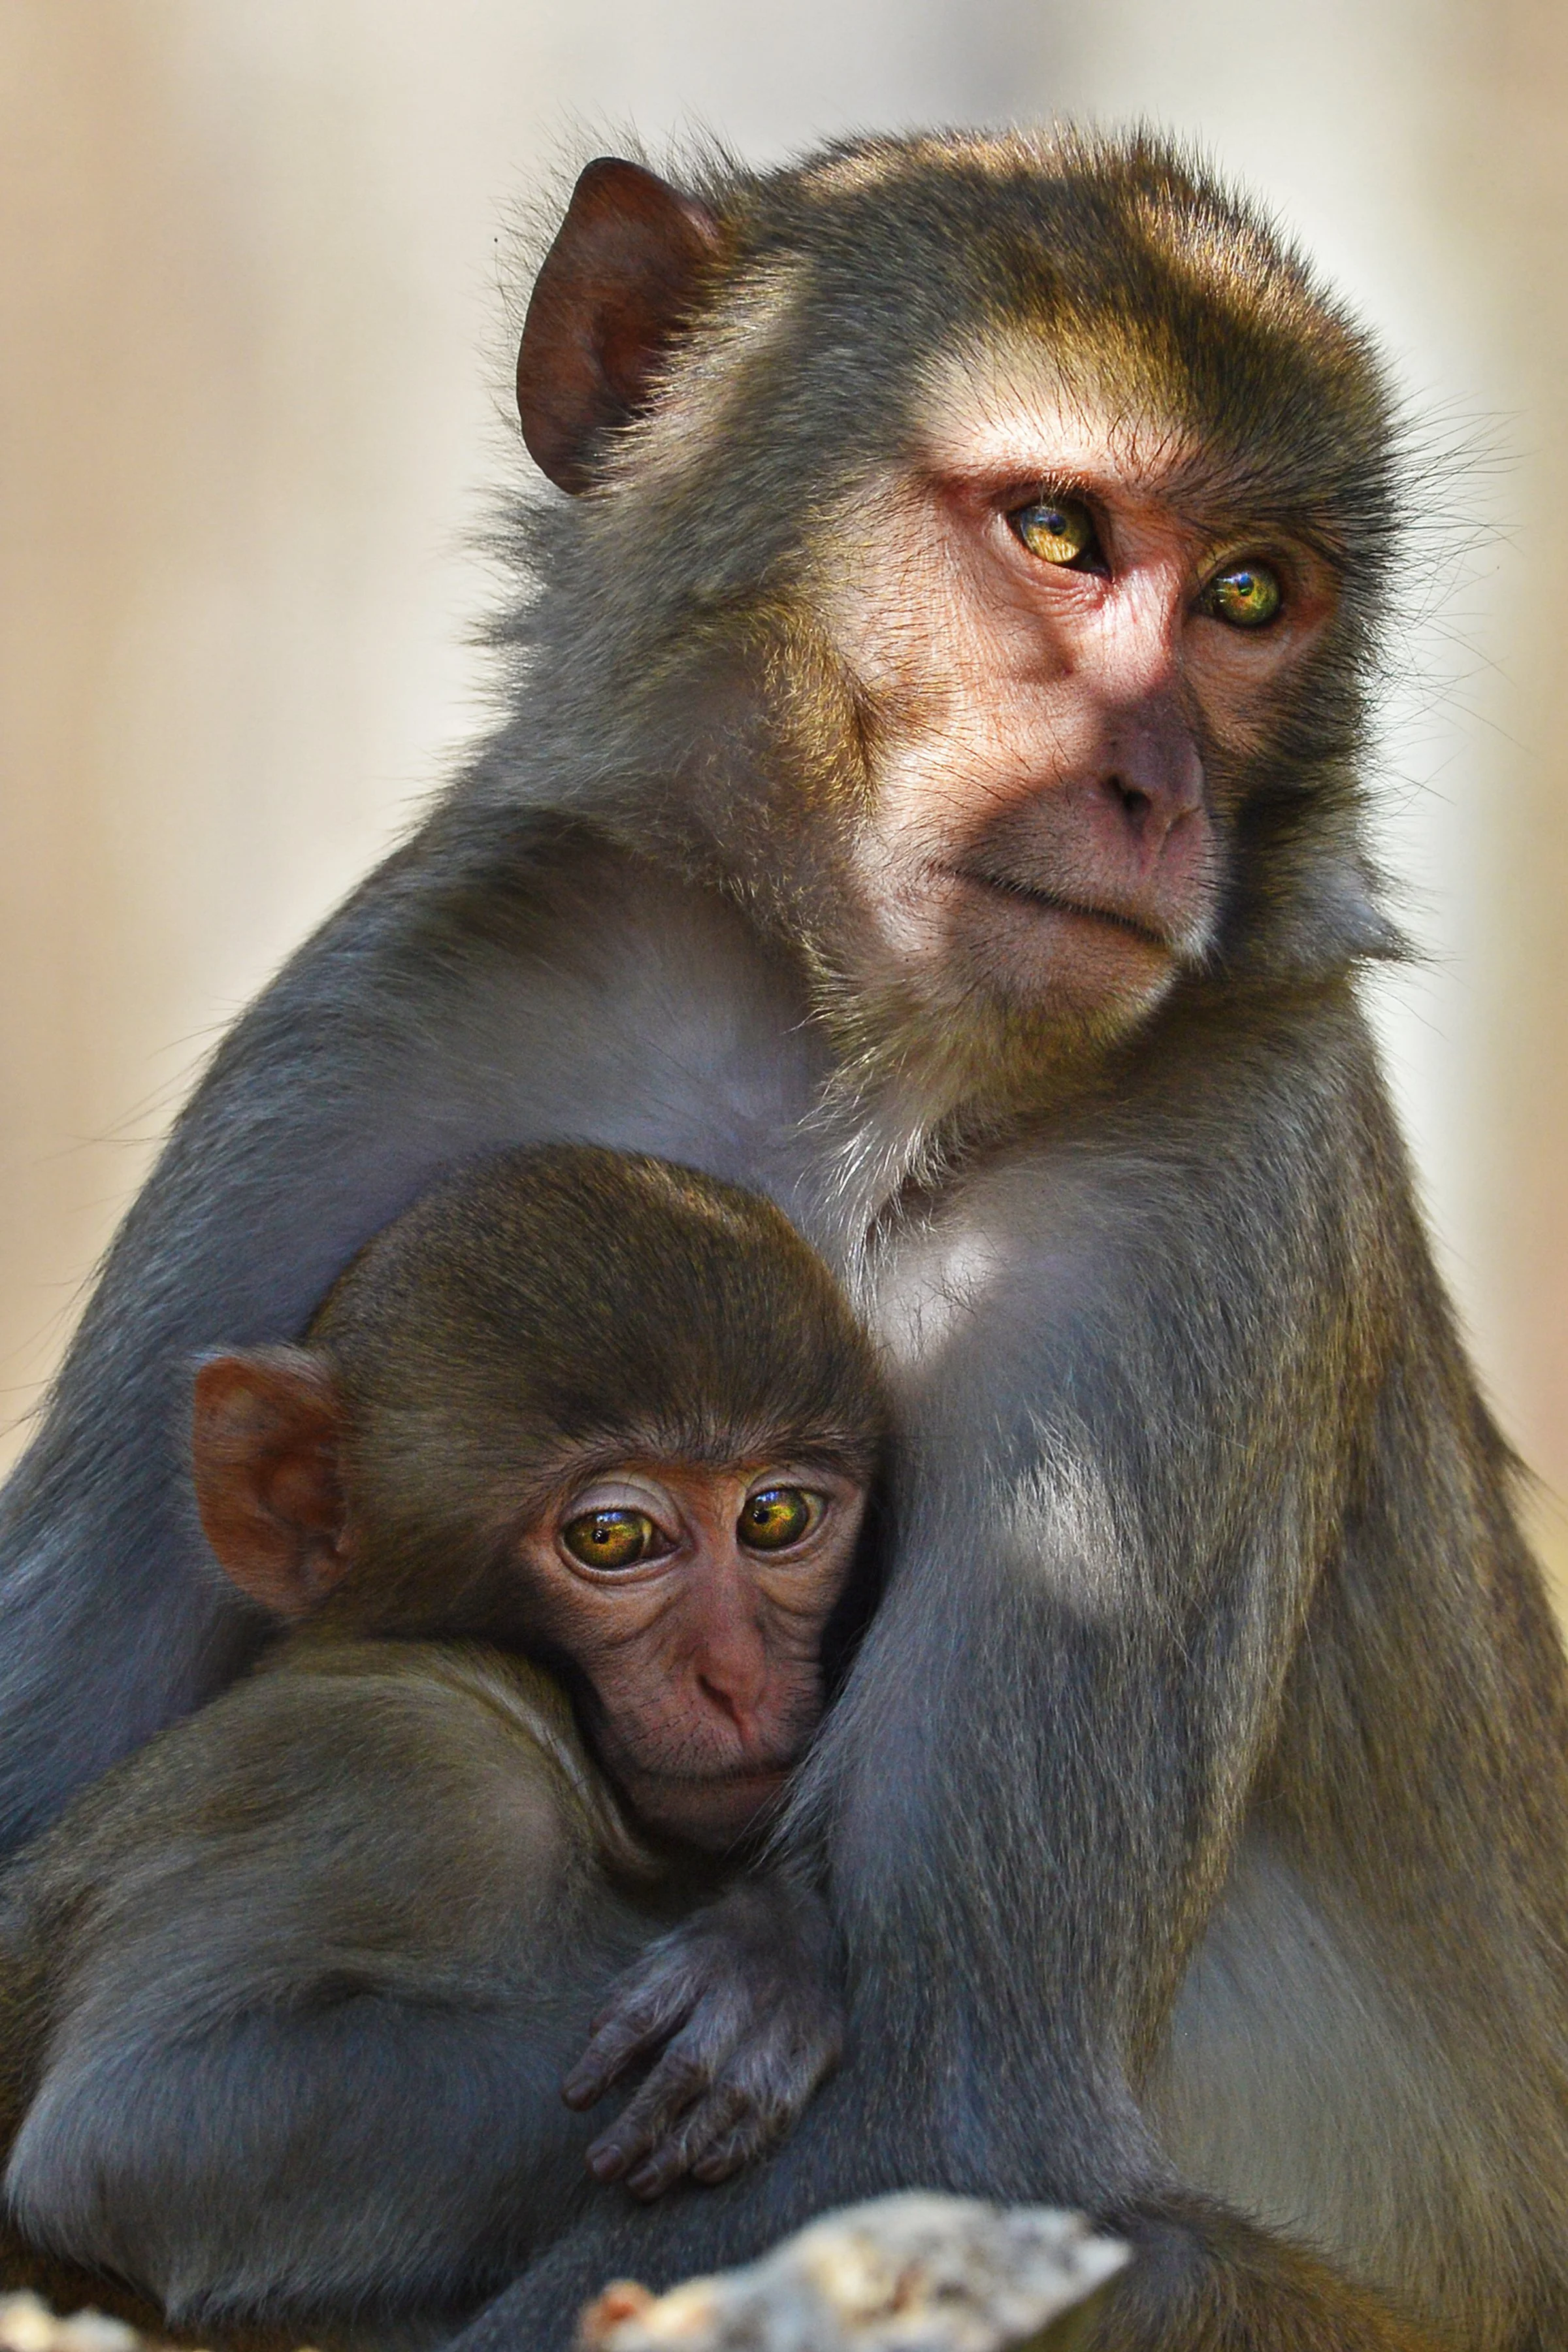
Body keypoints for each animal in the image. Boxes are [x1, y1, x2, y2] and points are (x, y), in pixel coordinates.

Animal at [0, 1142, 885, 2336]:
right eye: (615, 1537)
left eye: (776, 1516)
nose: (738, 1677)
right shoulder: (410, 1781)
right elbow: (129, 2135)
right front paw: (758, 1993)